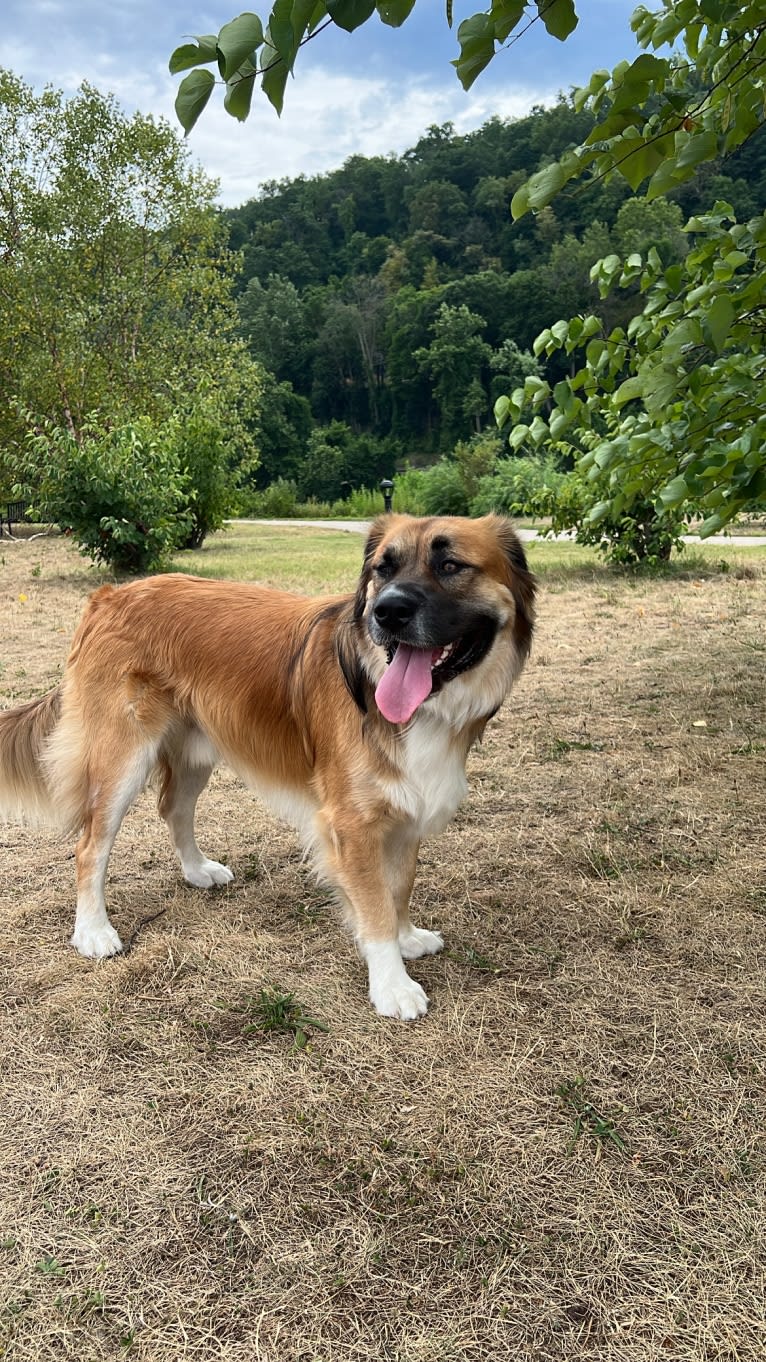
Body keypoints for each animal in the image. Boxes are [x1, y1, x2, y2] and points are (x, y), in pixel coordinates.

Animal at [0, 514, 531, 1018]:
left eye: (451, 565)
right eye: (384, 568)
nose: (387, 611)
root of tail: (109, 595)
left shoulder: (406, 809)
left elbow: (398, 886)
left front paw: (406, 938)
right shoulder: (352, 823)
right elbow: (375, 905)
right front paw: (392, 984)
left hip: (197, 747)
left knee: (174, 808)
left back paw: (196, 870)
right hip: (122, 756)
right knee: (90, 845)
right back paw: (93, 930)